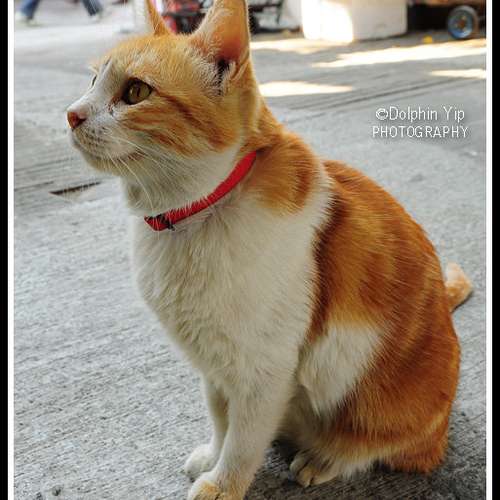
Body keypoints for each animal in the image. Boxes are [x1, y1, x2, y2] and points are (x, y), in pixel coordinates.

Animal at [67, 1, 473, 499]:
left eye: (135, 91)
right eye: (92, 81)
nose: (72, 114)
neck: (191, 220)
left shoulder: (263, 372)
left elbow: (243, 441)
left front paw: (223, 483)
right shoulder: (214, 366)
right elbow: (220, 420)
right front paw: (212, 456)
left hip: (386, 411)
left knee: (375, 447)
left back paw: (323, 458)